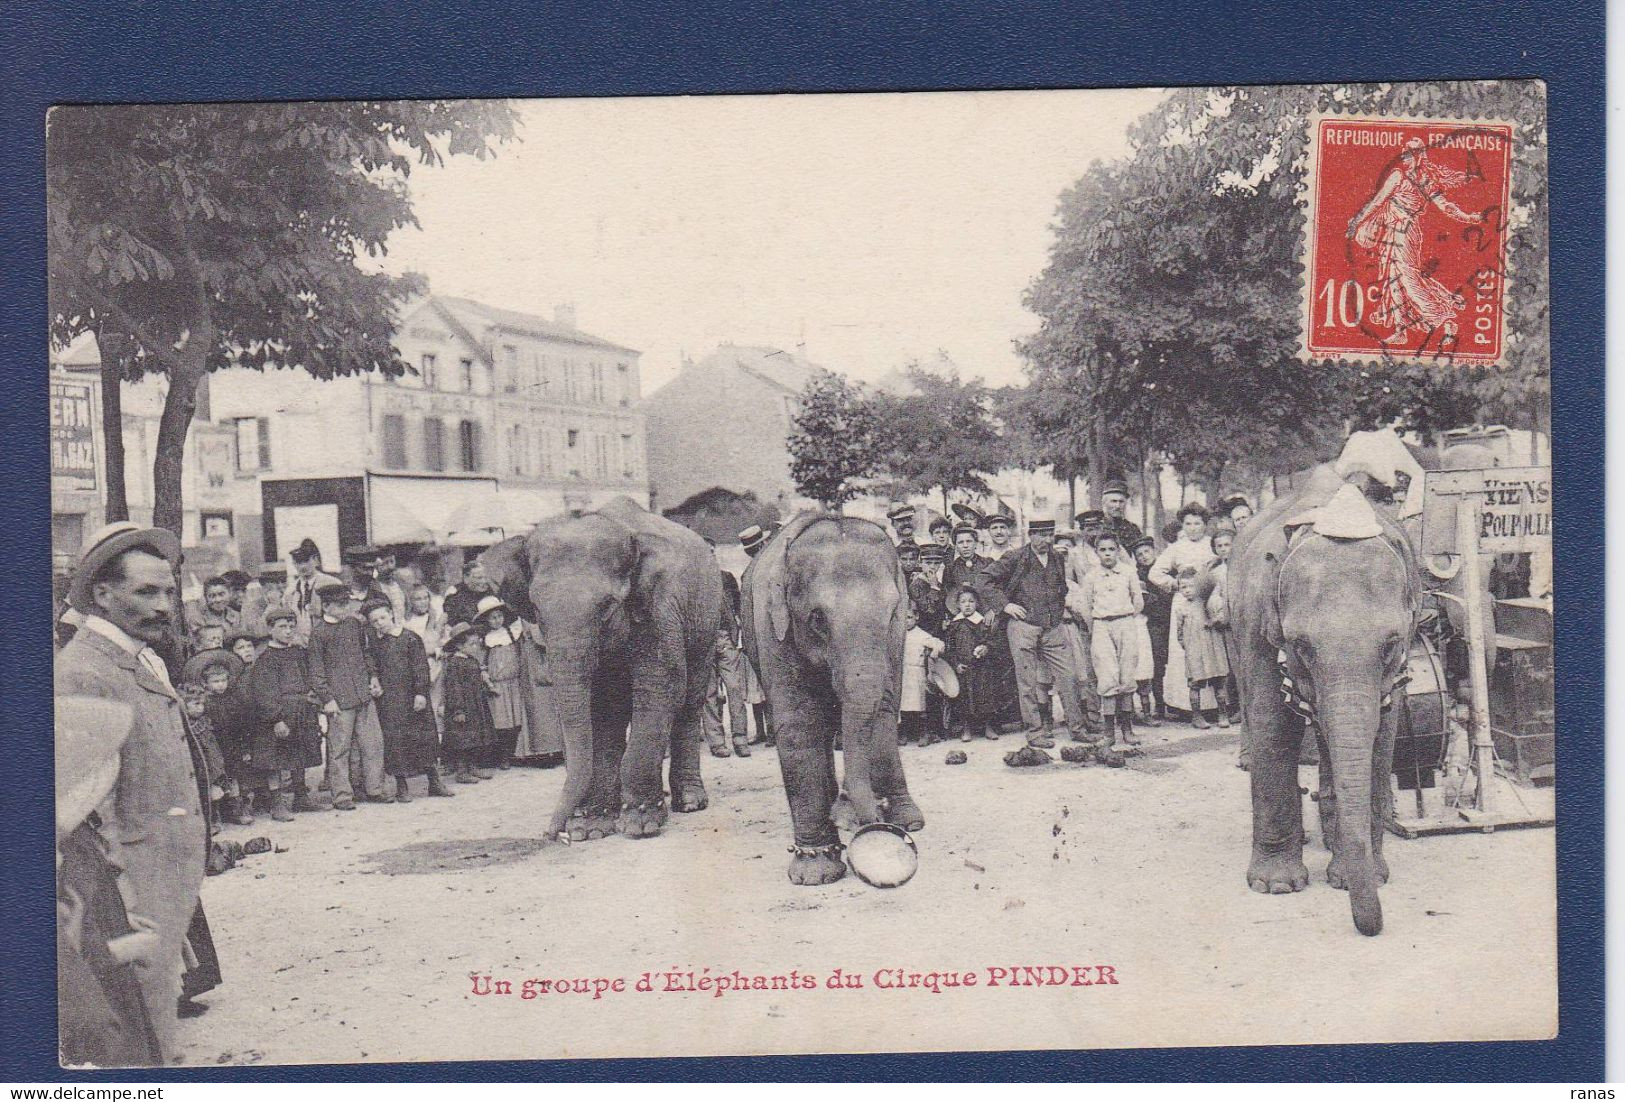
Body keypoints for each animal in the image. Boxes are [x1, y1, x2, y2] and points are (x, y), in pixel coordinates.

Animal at [474, 497, 718, 845]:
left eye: (605, 607)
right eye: (537, 611)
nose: (550, 834)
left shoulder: (658, 608)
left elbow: (660, 688)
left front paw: (640, 824)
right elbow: (597, 709)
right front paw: (589, 828)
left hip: (706, 623)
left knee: (689, 700)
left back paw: (689, 802)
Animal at [741, 513, 923, 884]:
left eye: (891, 613)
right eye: (817, 619)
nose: (863, 820)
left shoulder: (896, 634)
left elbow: (883, 707)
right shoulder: (772, 628)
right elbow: (798, 723)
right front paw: (816, 871)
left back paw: (909, 820)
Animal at [1222, 461, 1417, 936]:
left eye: (1390, 645)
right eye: (1301, 646)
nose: (1371, 929)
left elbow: (1382, 731)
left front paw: (1357, 878)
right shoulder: (1256, 620)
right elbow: (1272, 721)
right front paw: (1275, 887)